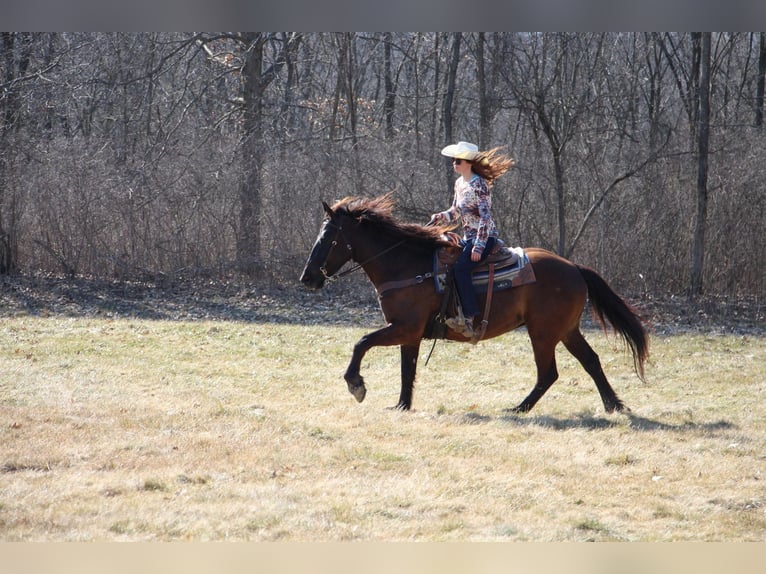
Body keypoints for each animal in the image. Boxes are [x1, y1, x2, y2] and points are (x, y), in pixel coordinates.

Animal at [300, 196, 648, 416]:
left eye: (328, 237)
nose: (307, 278)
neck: (406, 266)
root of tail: (574, 267)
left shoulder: (403, 328)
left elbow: (362, 343)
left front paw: (356, 385)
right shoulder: (409, 334)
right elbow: (406, 370)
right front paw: (401, 405)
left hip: (544, 334)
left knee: (548, 373)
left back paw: (519, 408)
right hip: (566, 330)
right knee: (591, 361)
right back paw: (614, 405)